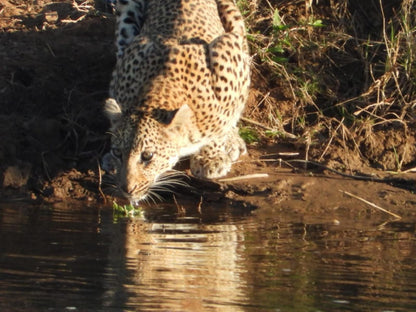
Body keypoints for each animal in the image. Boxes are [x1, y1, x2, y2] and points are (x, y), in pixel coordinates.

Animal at [103, 0, 250, 205]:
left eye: (147, 156)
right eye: (118, 152)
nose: (127, 189)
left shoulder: (229, 57)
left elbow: (224, 123)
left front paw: (210, 158)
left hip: (236, 24)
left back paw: (233, 142)